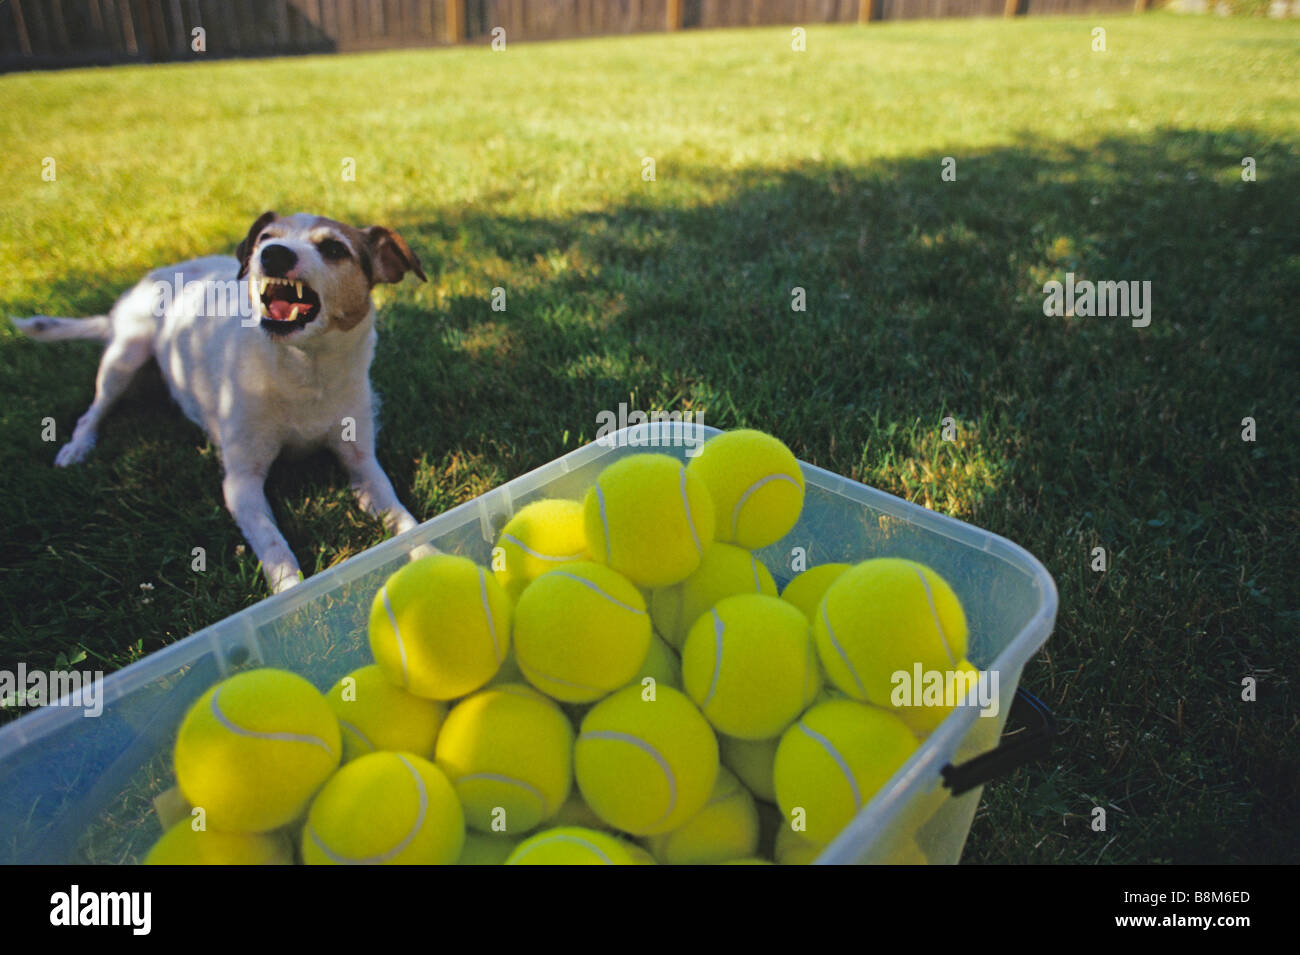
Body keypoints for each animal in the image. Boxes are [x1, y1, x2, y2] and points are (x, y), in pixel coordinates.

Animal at [12, 213, 426, 595]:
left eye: (335, 249)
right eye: (266, 238)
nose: (272, 254)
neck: (304, 372)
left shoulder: (362, 463)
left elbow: (404, 518)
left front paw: (428, 552)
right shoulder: (242, 482)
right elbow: (276, 548)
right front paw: (293, 600)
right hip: (124, 357)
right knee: (93, 411)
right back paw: (77, 447)